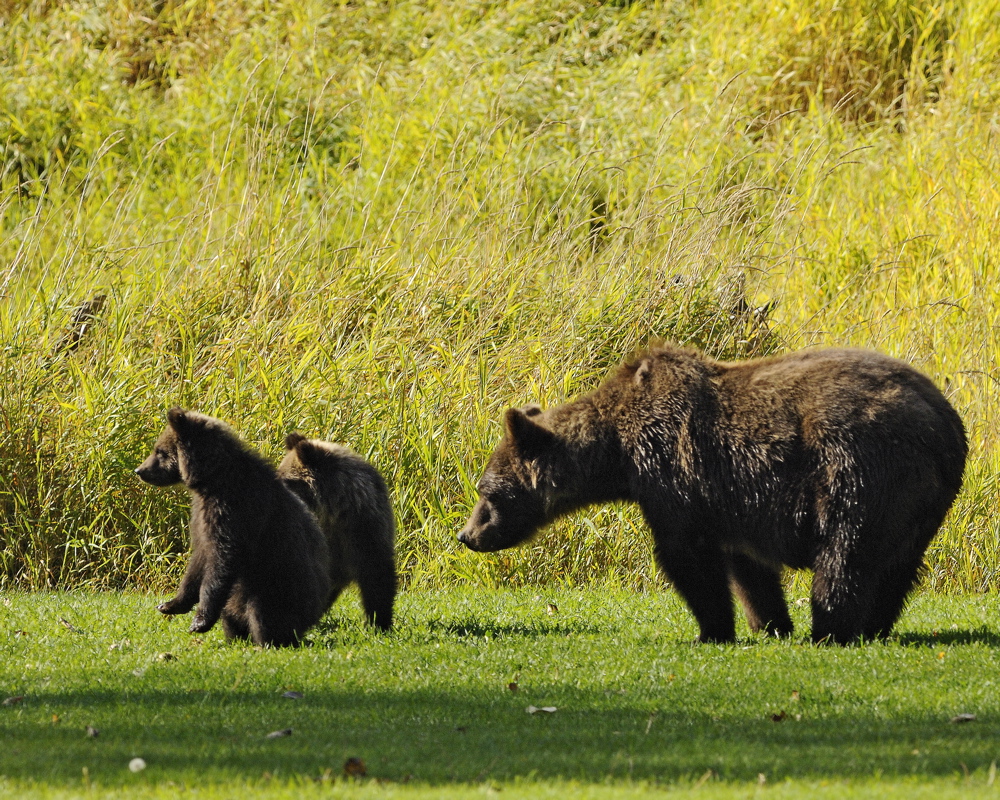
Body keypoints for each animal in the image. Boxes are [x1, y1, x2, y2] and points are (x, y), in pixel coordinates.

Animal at [135, 409, 331, 647]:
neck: (212, 479)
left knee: (264, 611)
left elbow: (224, 559)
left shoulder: (234, 511)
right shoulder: (202, 516)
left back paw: (267, 642)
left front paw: (199, 621)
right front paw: (171, 604)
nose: (140, 470)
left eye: (160, 451)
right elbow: (199, 558)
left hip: (279, 586)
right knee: (231, 613)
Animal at [458, 344, 967, 644]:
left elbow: (687, 557)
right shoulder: (735, 499)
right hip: (918, 500)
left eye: (488, 491)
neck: (618, 452)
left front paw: (712, 630)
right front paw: (770, 623)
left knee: (846, 552)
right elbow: (748, 566)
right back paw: (875, 626)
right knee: (898, 565)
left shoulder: (673, 473)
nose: (467, 535)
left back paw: (831, 628)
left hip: (859, 469)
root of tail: (945, 422)